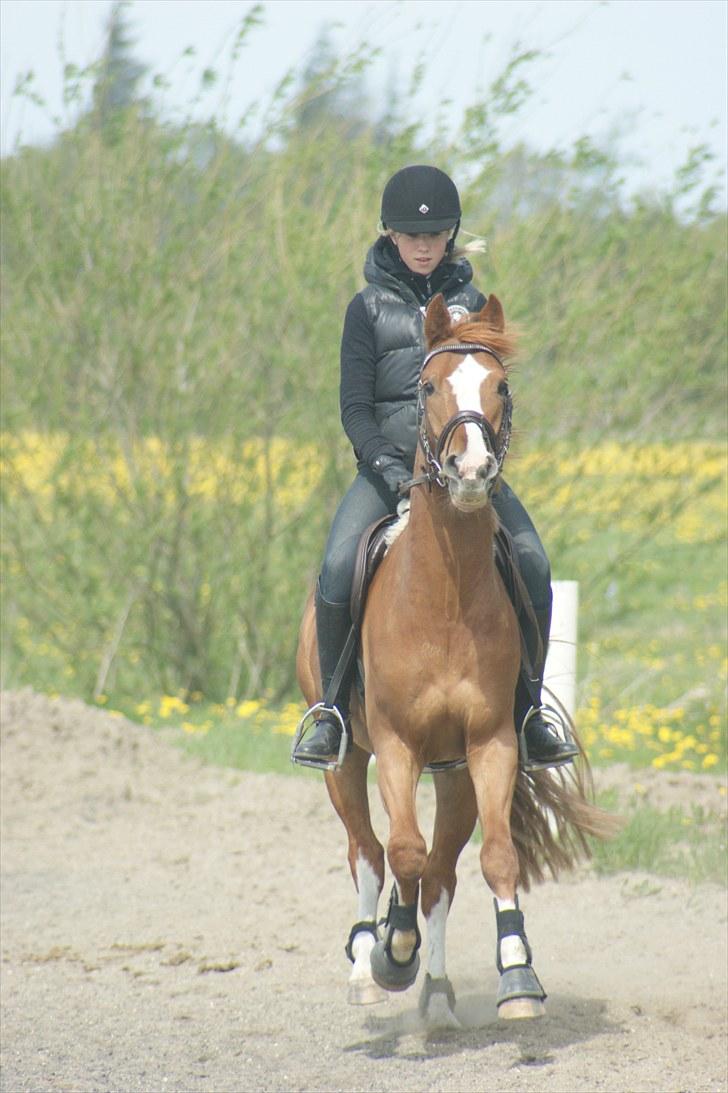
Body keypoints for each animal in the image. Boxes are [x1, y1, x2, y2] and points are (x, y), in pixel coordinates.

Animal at [292, 292, 612, 1023]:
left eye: (501, 387)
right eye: (430, 386)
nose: (471, 471)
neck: (444, 598)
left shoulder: (489, 744)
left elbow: (491, 859)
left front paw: (516, 974)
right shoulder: (396, 744)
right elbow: (403, 852)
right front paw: (393, 951)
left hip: (455, 772)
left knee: (439, 873)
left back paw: (435, 989)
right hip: (345, 762)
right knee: (370, 853)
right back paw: (368, 961)